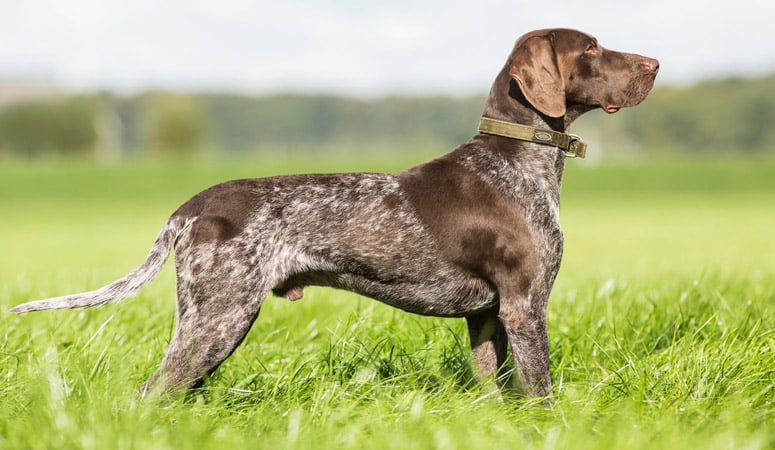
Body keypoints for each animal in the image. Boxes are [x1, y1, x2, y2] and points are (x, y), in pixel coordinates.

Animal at [9, 29, 656, 400]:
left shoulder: (487, 316)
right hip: (218, 319)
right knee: (151, 394)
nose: (653, 63)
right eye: (591, 49)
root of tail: (194, 205)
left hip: (209, 322)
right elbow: (540, 390)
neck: (517, 161)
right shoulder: (525, 306)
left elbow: (494, 392)